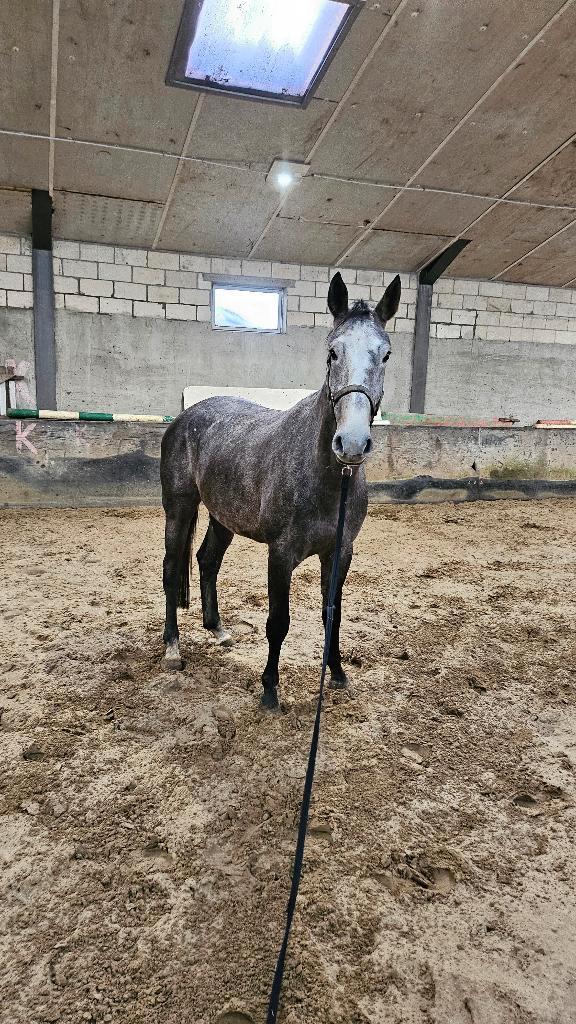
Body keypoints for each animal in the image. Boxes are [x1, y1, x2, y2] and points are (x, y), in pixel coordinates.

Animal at [160, 271, 401, 710]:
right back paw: (172, 649)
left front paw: (337, 672)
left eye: (386, 354)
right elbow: (279, 621)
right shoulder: (281, 553)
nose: (352, 443)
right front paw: (270, 688)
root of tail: (187, 415)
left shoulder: (339, 552)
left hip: (223, 517)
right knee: (172, 569)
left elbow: (332, 613)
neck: (324, 480)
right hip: (179, 508)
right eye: (332, 353)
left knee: (206, 561)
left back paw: (218, 629)